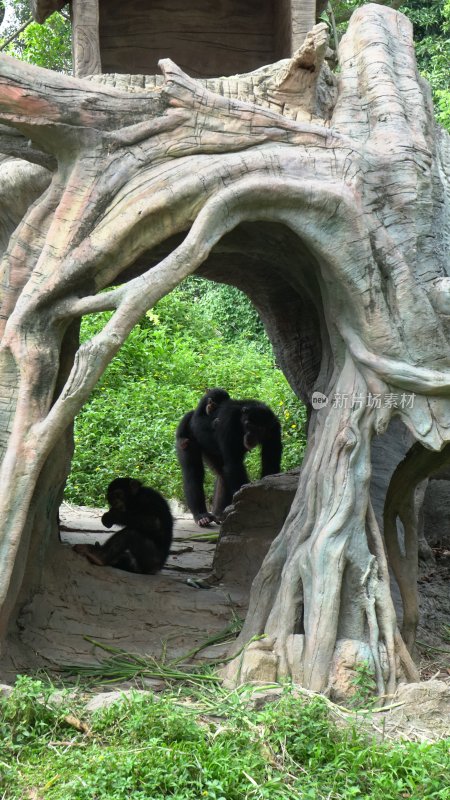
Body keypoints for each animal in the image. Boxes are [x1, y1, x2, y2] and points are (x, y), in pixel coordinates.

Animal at [176, 390, 282, 528]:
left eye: (260, 429)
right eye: (249, 424)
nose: (250, 436)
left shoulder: (274, 429)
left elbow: (270, 463)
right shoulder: (228, 422)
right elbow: (234, 464)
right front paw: (247, 501)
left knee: (222, 474)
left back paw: (220, 514)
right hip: (187, 436)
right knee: (193, 472)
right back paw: (202, 515)